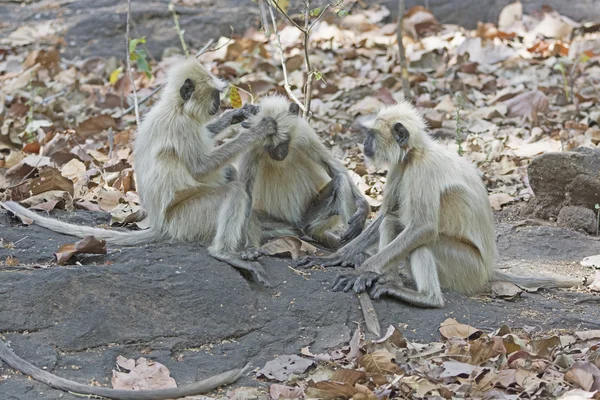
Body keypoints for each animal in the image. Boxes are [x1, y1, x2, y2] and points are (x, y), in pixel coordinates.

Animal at [0, 58, 276, 284]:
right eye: (215, 95)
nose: (219, 104)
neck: (175, 108)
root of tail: (160, 225)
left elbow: (206, 135)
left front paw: (237, 115)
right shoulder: (180, 127)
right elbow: (200, 168)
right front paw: (259, 130)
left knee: (229, 175)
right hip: (186, 219)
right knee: (233, 190)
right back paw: (224, 252)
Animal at [236, 94, 368, 250]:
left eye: (284, 142)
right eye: (269, 146)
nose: (279, 155)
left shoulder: (305, 134)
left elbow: (335, 168)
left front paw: (363, 207)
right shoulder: (249, 145)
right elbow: (245, 191)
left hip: (310, 220)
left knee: (341, 180)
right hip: (286, 227)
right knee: (251, 210)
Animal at [298, 101, 584, 308]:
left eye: (371, 136)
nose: (364, 145)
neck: (416, 154)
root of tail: (487, 269)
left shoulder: (422, 170)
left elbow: (423, 228)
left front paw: (362, 271)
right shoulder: (402, 166)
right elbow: (387, 213)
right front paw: (340, 257)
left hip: (465, 267)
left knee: (421, 239)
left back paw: (425, 297)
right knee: (392, 222)